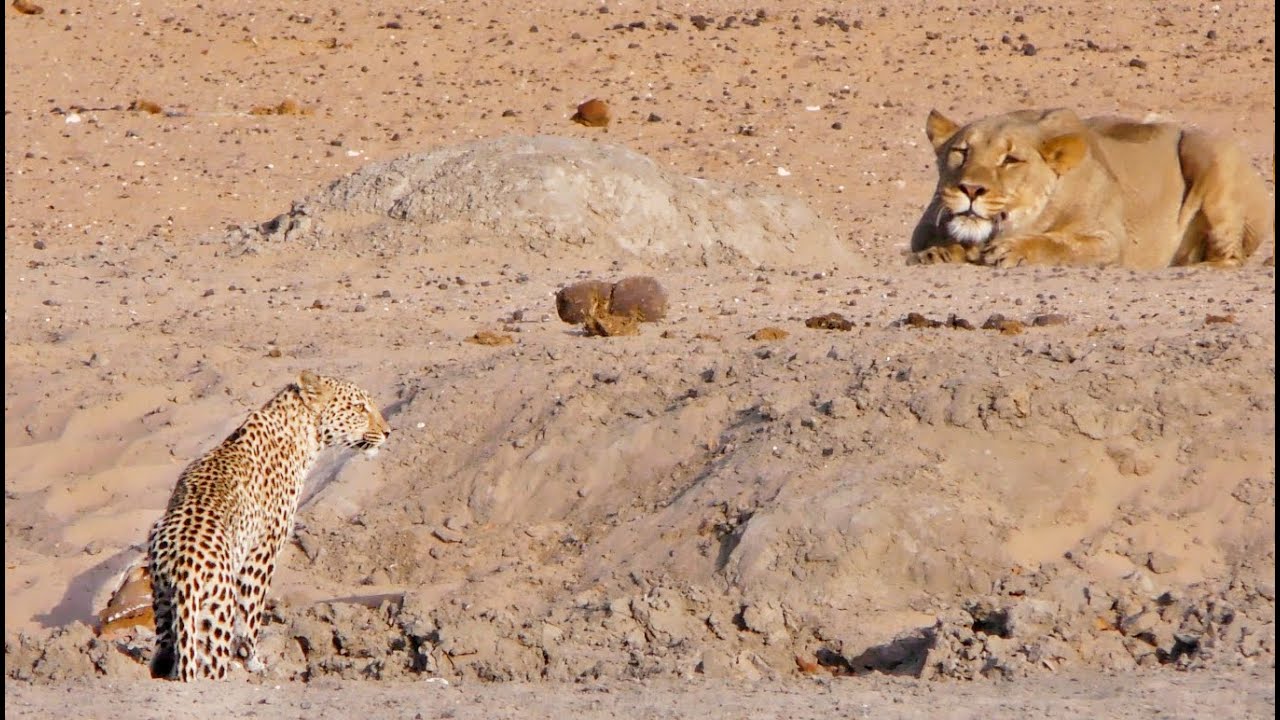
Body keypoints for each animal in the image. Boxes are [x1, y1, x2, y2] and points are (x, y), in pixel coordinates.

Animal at [146, 368, 389, 676]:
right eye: (359, 408)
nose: (388, 432)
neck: (304, 434)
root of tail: (182, 566)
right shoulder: (263, 551)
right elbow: (250, 614)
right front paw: (254, 661)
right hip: (216, 614)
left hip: (164, 607)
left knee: (164, 658)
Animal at [911, 105, 1269, 265]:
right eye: (961, 151)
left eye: (1010, 160)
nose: (970, 190)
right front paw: (939, 253)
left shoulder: (1109, 240)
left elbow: (1060, 243)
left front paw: (1013, 249)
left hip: (1207, 151)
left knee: (1229, 256)